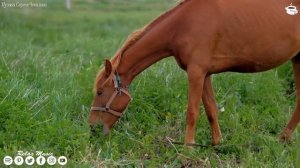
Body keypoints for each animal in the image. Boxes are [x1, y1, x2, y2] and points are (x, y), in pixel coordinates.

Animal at [89, 0, 300, 145]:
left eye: (100, 92)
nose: (92, 128)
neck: (182, 25)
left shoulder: (196, 73)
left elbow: (192, 112)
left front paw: (187, 148)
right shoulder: (204, 74)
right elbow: (211, 110)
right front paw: (217, 144)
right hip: (297, 59)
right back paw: (283, 139)